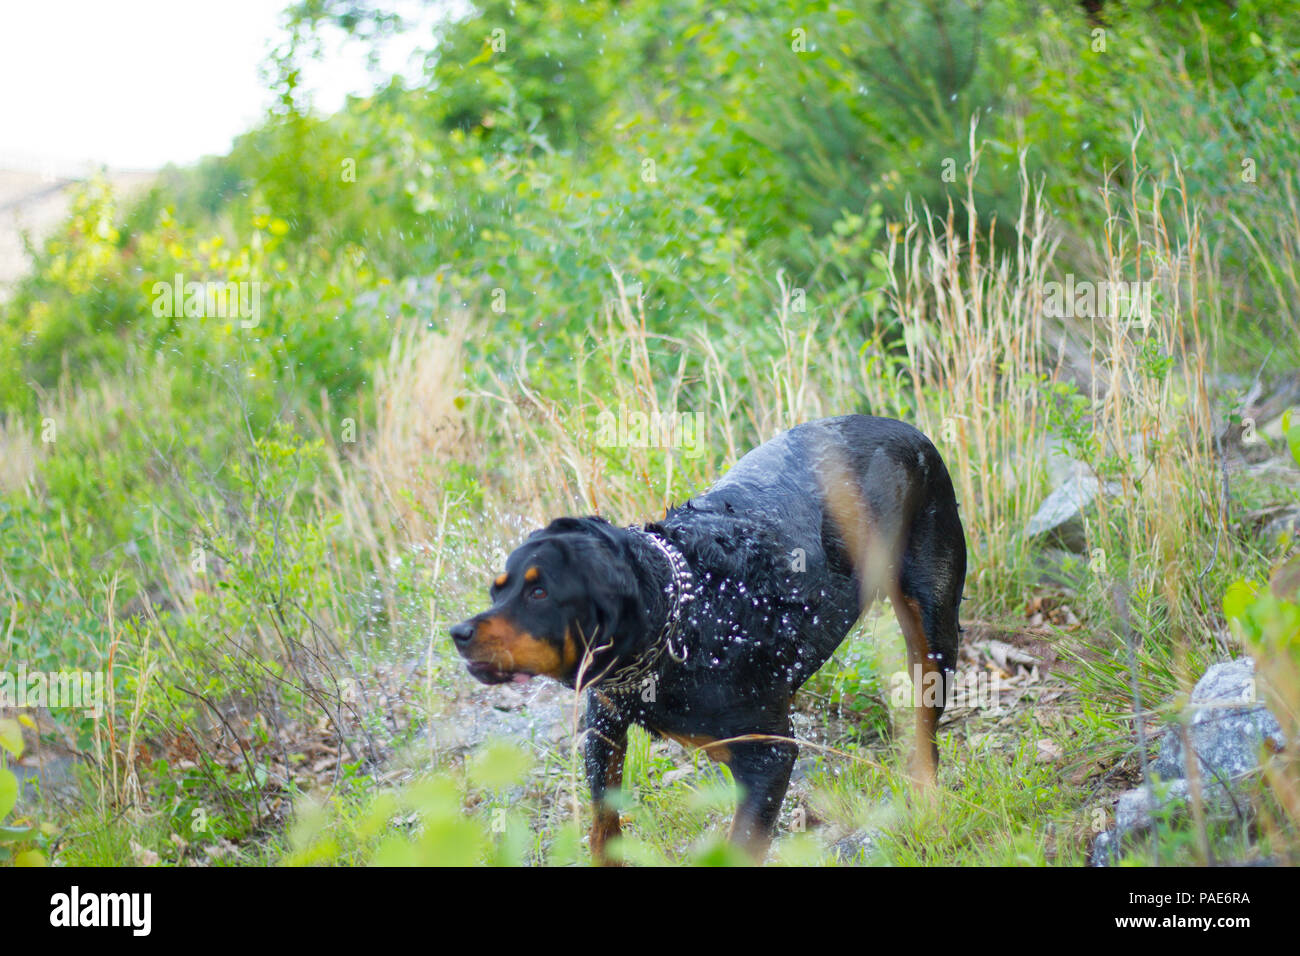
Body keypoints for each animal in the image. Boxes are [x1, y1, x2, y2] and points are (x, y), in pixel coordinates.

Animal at [449, 416, 967, 863]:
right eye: (497, 590)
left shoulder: (770, 755)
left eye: (539, 592)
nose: (459, 633)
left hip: (933, 629)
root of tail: (910, 430)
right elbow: (603, 826)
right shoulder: (603, 724)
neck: (687, 611)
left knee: (926, 729)